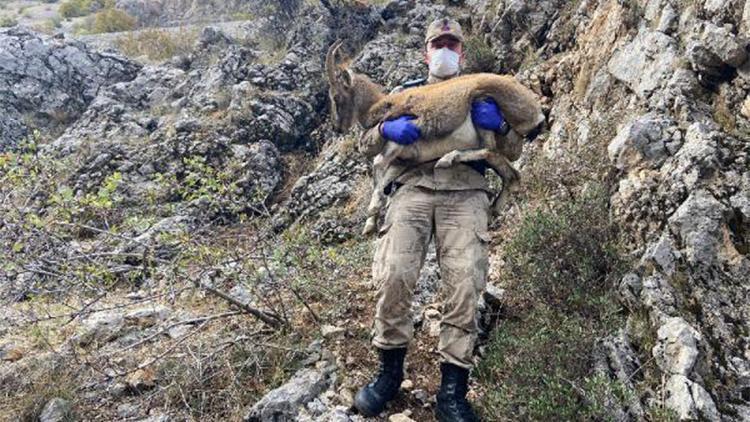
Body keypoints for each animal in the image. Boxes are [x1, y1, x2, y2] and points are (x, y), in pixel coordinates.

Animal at [326, 39, 544, 234]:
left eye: (336, 97)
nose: (337, 128)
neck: (380, 107)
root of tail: (536, 111)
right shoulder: (402, 161)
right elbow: (384, 180)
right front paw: (370, 225)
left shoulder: (397, 145)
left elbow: (377, 165)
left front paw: (370, 220)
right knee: (511, 174)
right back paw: (493, 209)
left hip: (483, 105)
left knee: (488, 149)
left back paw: (448, 159)